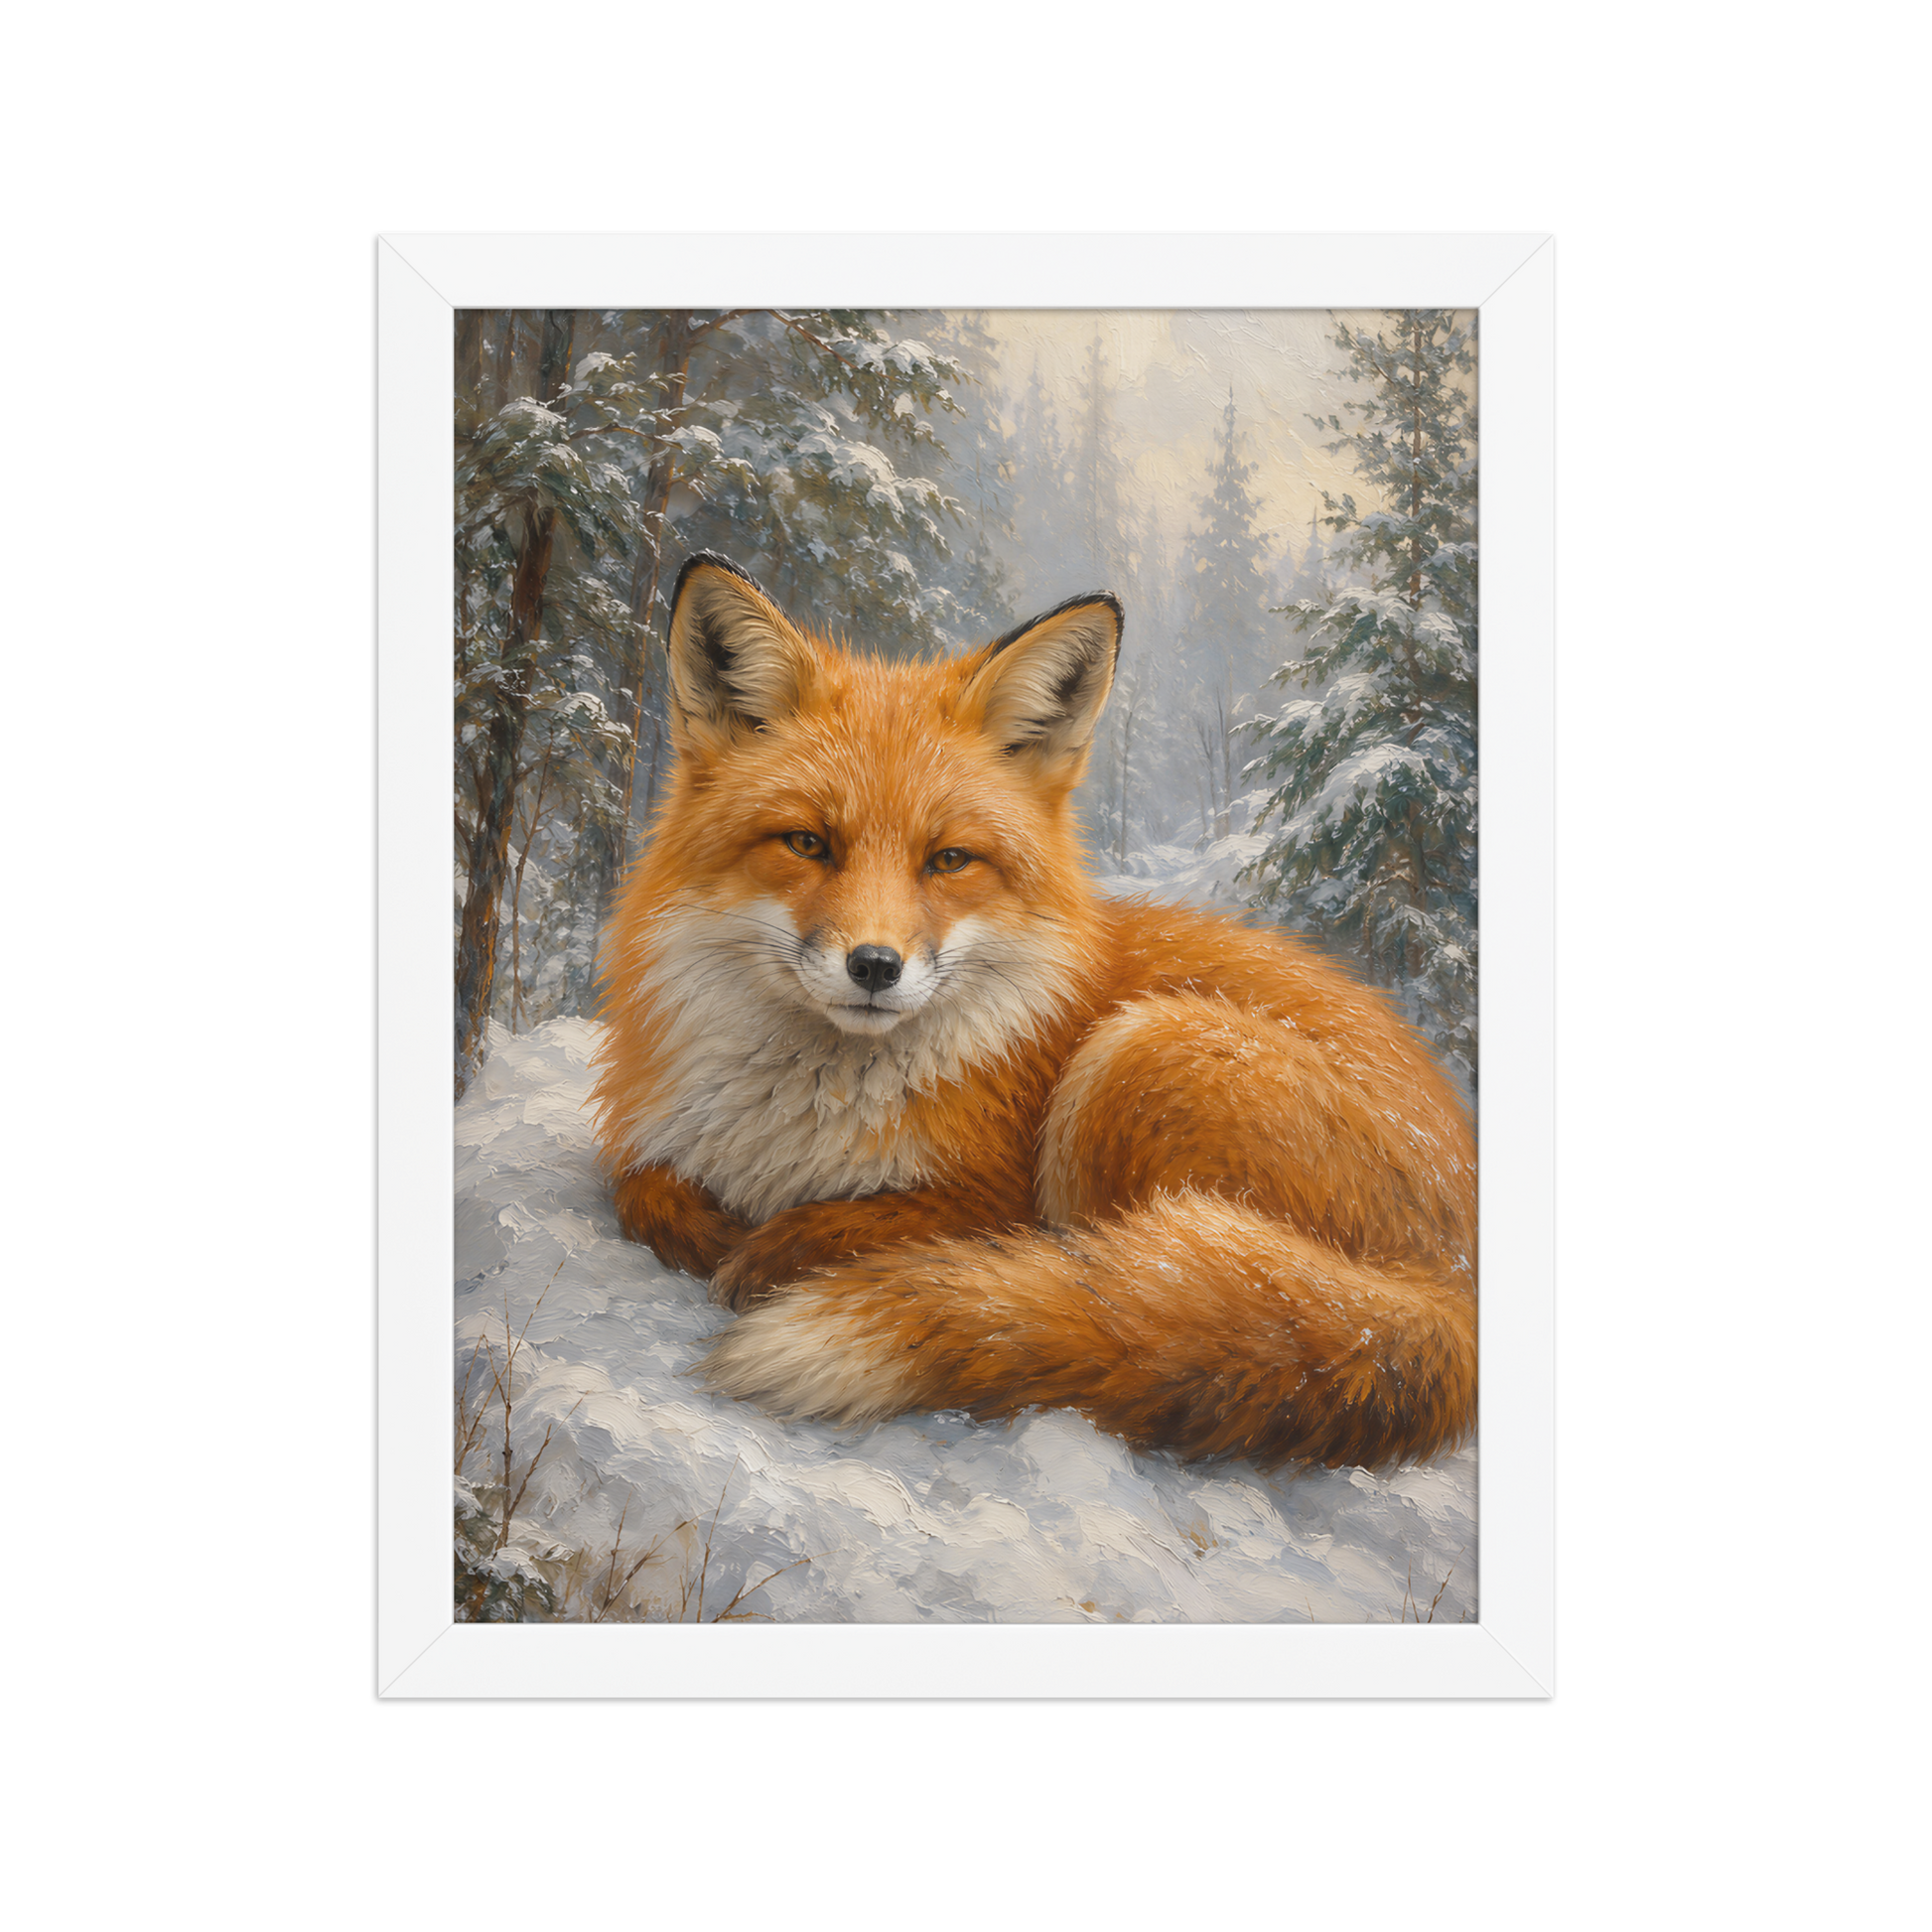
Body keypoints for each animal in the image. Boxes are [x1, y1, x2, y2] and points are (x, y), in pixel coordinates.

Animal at [589, 552, 1476, 1474]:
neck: (798, 1121)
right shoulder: (655, 1141)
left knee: (1124, 1286)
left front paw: (775, 1251)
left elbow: (878, 1223)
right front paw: (708, 1229)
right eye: (807, 844)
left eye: (948, 860)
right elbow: (639, 1188)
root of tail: (1456, 1283)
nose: (875, 966)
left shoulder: (992, 1194)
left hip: (1140, 1052)